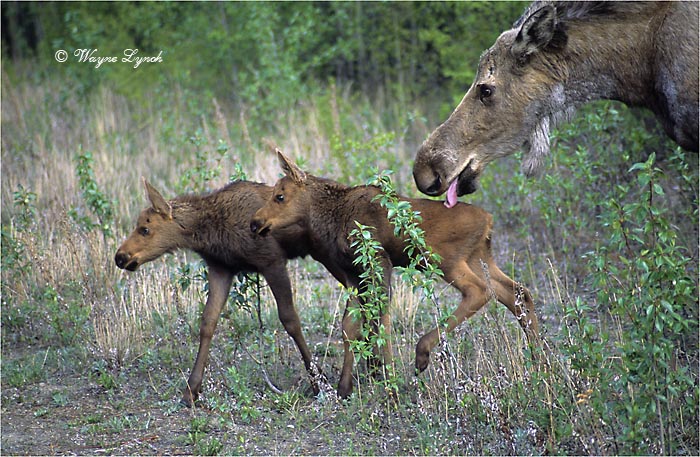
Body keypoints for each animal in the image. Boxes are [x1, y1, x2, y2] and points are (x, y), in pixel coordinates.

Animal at [115, 178, 322, 406]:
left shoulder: (272, 261)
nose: (120, 257)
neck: (211, 233)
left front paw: (317, 382)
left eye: (145, 229)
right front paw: (191, 390)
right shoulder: (221, 268)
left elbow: (290, 319)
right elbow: (208, 322)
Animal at [251, 150, 538, 398]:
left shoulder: (379, 261)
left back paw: (422, 353)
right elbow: (350, 326)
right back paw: (538, 359)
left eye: (280, 196)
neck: (330, 218)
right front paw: (345, 387)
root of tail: (489, 221)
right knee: (518, 292)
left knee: (479, 291)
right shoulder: (352, 274)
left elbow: (382, 321)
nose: (255, 222)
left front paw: (390, 384)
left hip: (446, 259)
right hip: (479, 257)